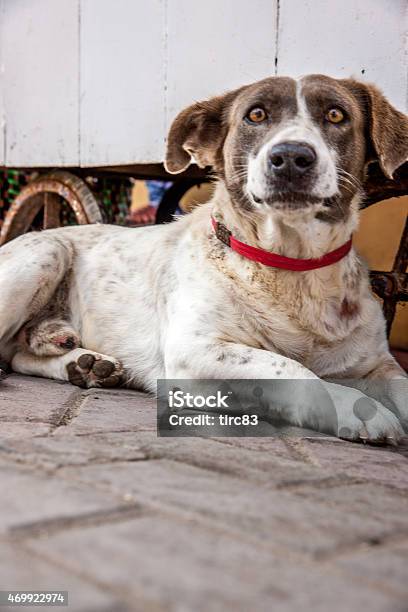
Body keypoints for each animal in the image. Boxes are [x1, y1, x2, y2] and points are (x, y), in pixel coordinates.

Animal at [0, 74, 406, 442]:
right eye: (256, 115)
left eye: (336, 115)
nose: (291, 156)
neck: (292, 268)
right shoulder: (194, 352)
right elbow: (292, 368)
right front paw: (356, 408)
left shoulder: (377, 362)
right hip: (47, 251)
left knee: (17, 354)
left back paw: (84, 364)